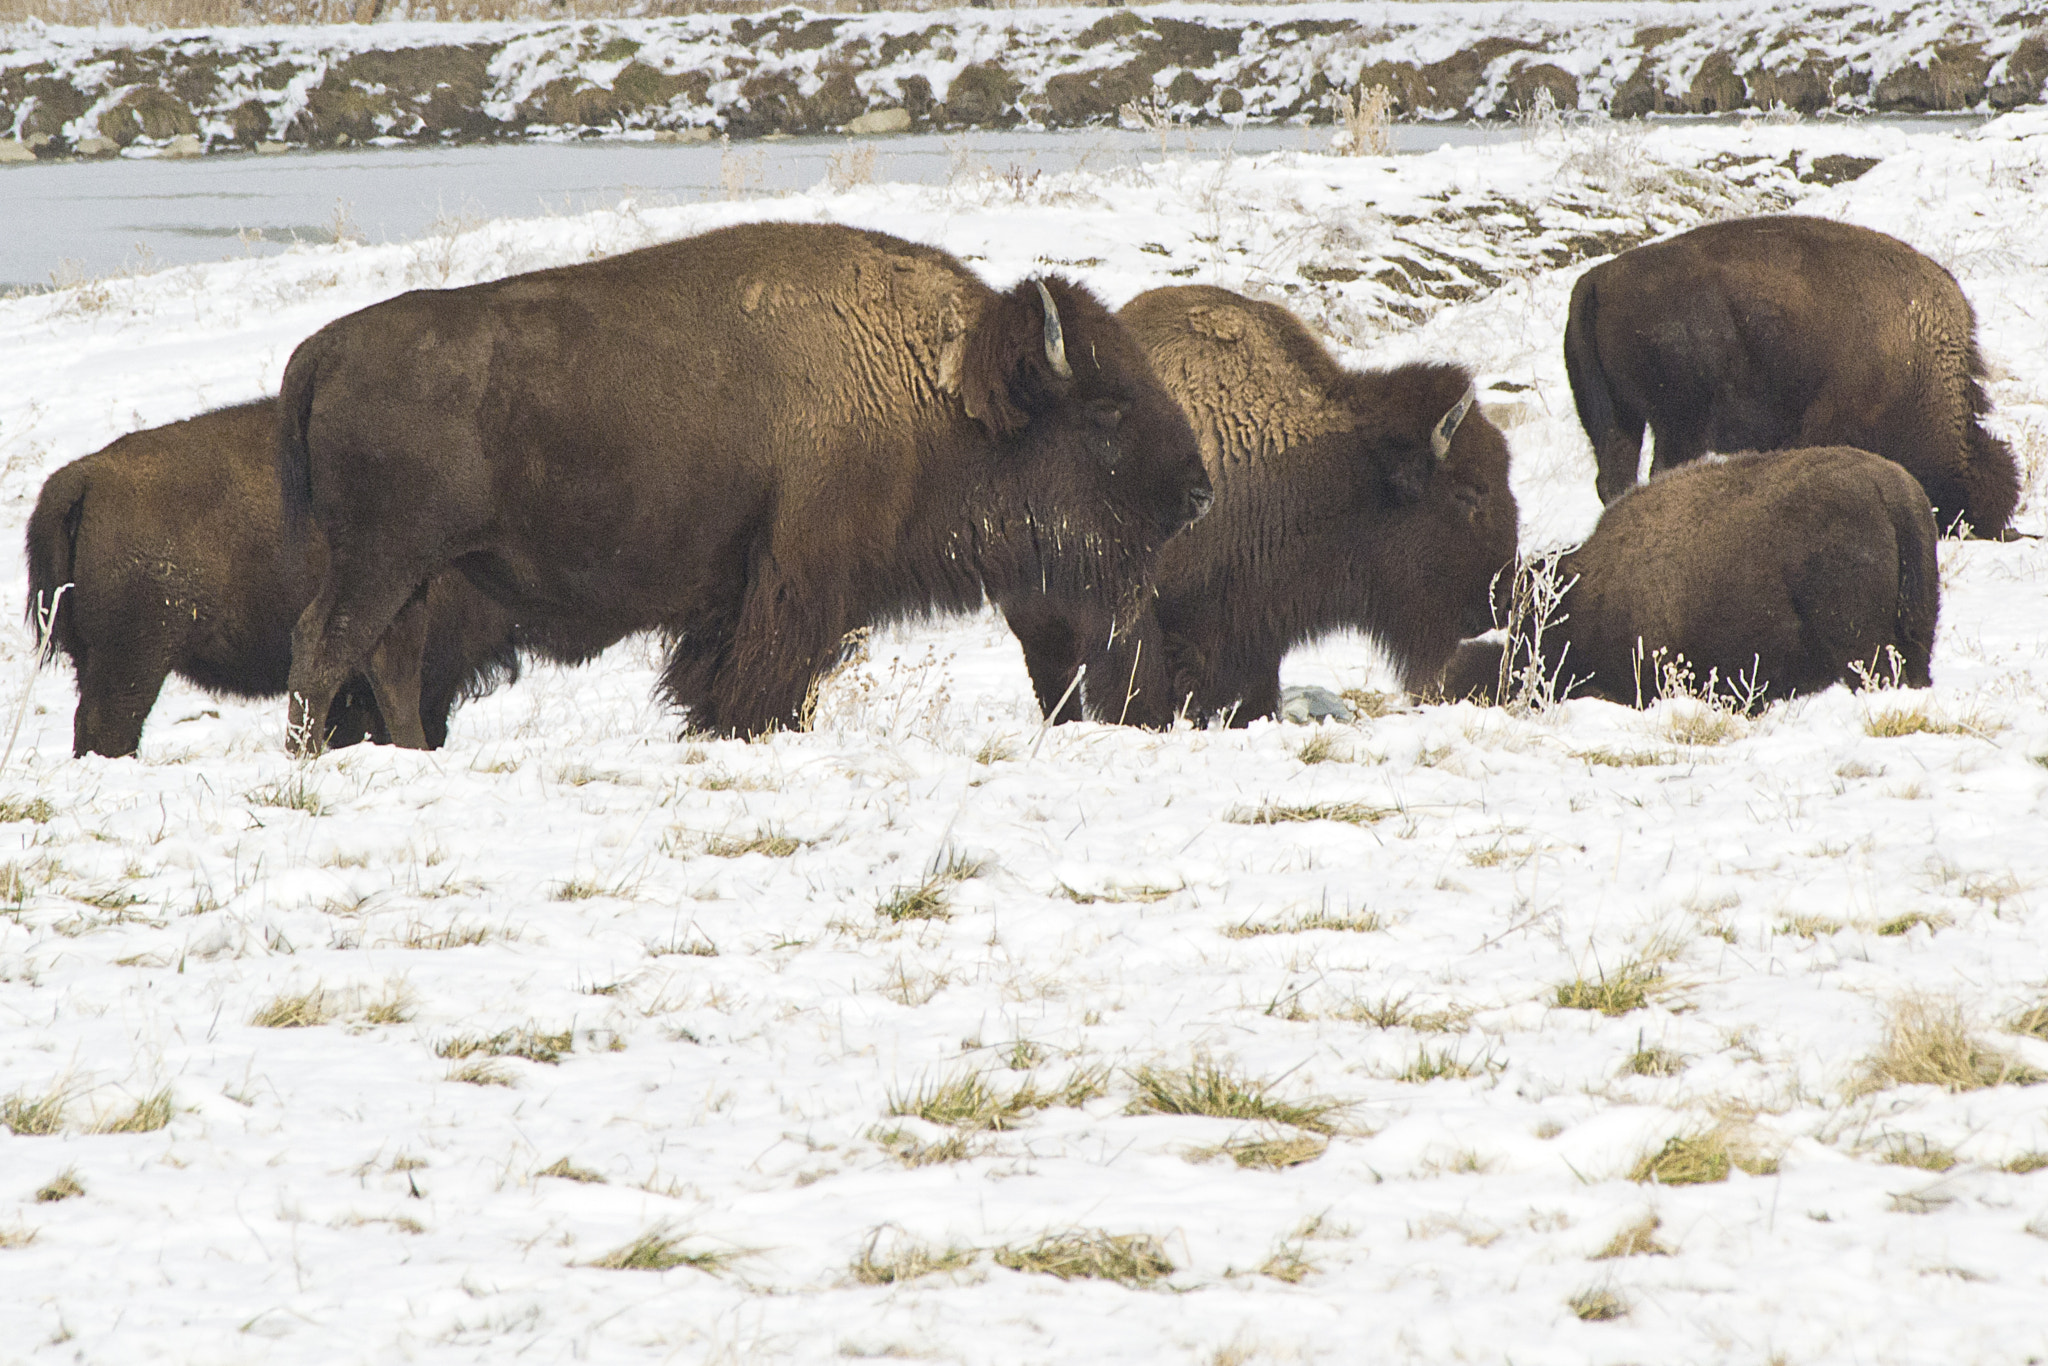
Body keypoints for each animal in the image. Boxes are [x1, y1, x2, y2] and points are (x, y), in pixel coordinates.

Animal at [270, 222, 1196, 749]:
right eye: (1106, 409)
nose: (1196, 493)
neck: (933, 384)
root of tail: (324, 348)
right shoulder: (802, 578)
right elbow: (773, 674)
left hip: (412, 571)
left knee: (386, 660)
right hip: (381, 560)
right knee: (322, 644)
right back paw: (307, 762)